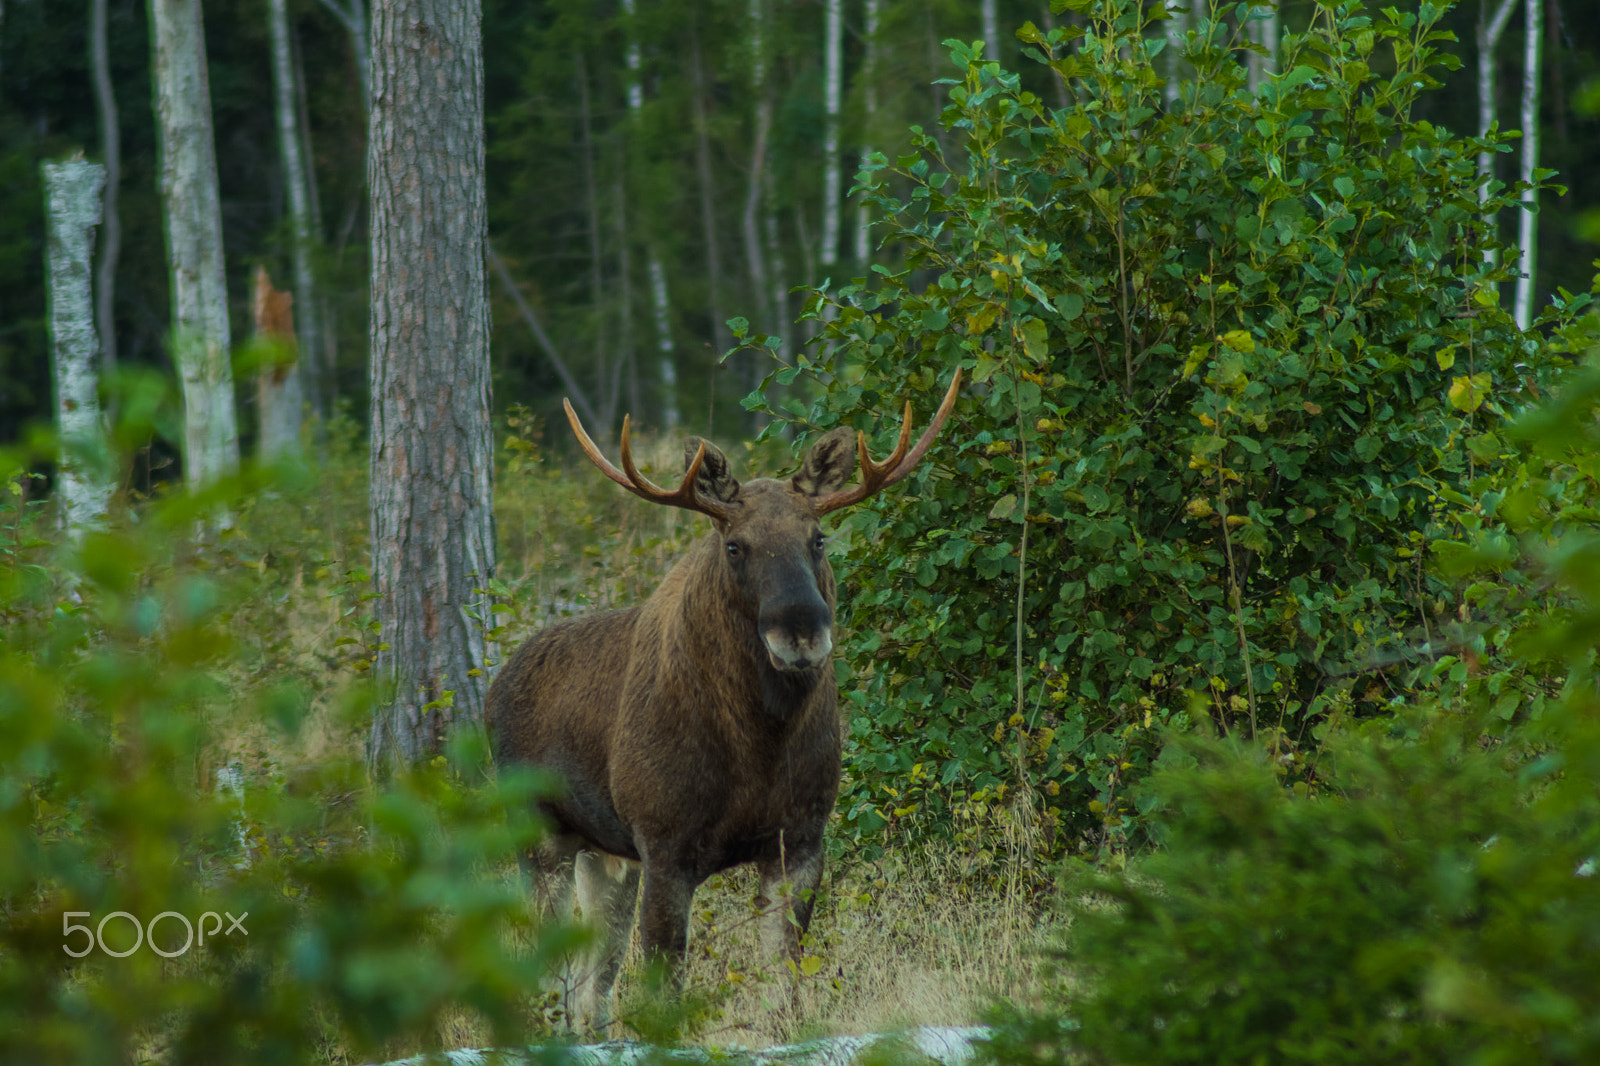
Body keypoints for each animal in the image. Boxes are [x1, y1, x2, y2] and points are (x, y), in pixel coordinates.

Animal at [486, 369, 953, 1024]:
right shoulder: (664, 844)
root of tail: (494, 687)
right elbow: (664, 996)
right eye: (736, 545)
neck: (759, 743)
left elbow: (786, 989)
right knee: (552, 982)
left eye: (819, 538)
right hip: (539, 833)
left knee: (588, 988)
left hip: (603, 853)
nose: (801, 629)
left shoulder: (799, 839)